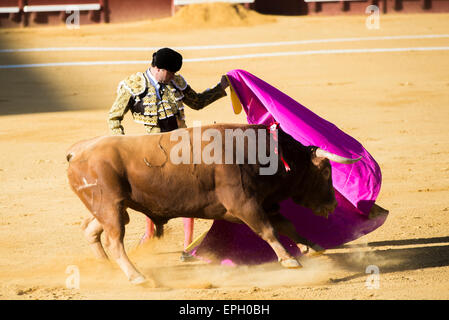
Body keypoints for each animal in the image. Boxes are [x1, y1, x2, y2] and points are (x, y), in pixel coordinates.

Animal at [65, 124, 360, 284]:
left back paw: (106, 268)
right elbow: (267, 230)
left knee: (90, 229)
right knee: (115, 240)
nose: (332, 205)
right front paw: (290, 260)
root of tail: (78, 150)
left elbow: (288, 226)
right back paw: (137, 277)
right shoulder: (244, 204)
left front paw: (313, 246)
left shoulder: (265, 203)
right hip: (110, 207)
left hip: (110, 207)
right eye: (326, 172)